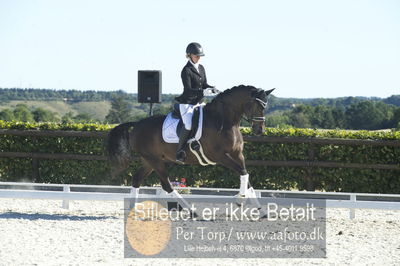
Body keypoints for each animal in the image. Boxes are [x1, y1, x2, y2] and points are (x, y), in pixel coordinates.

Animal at [108, 85, 274, 204]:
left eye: (265, 106)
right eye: (257, 106)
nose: (259, 130)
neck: (224, 121)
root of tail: (137, 124)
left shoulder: (237, 154)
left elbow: (246, 175)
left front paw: (259, 210)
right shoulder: (219, 156)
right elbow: (243, 172)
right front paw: (239, 198)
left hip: (149, 161)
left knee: (137, 179)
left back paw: (132, 208)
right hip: (154, 160)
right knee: (166, 185)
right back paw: (192, 211)